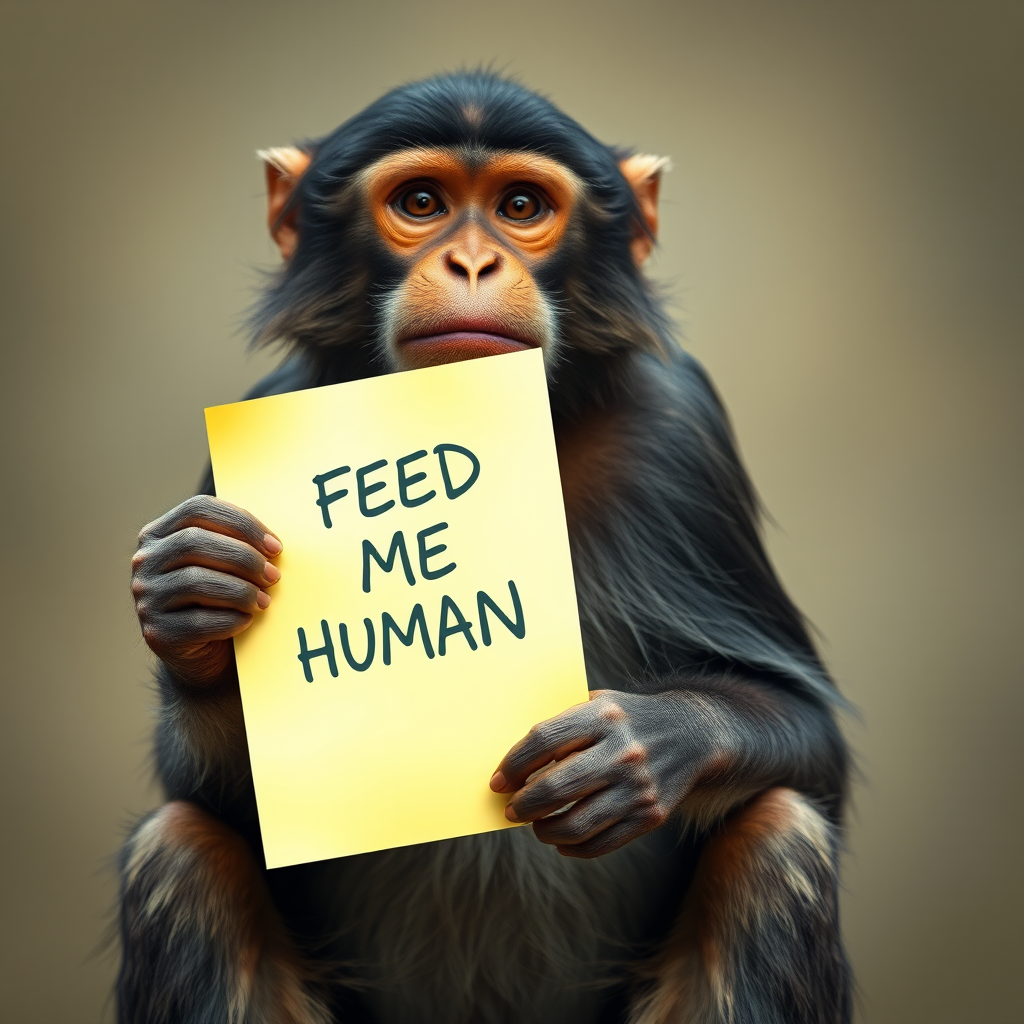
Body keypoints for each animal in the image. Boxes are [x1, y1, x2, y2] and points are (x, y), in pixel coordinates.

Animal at [122, 72, 851, 1024]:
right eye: (421, 204)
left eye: (521, 207)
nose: (473, 263)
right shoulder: (261, 413)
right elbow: (214, 799)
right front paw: (193, 593)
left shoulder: (681, 430)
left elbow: (809, 736)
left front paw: (642, 744)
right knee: (182, 849)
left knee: (778, 835)